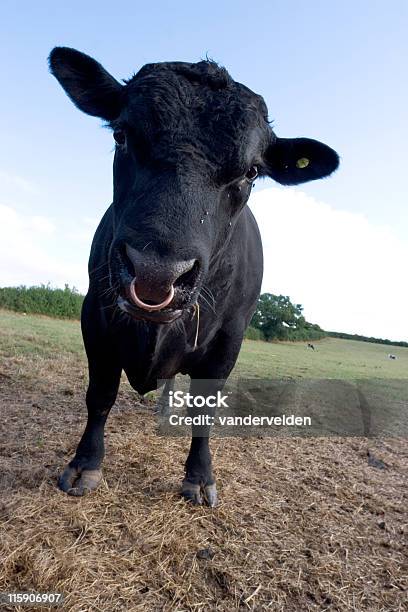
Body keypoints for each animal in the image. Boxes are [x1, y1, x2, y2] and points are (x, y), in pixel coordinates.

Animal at [49, 47, 340, 506]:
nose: (156, 273)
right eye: (121, 135)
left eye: (252, 171)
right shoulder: (95, 316)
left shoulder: (229, 339)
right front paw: (85, 464)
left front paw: (200, 477)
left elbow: (204, 409)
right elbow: (100, 395)